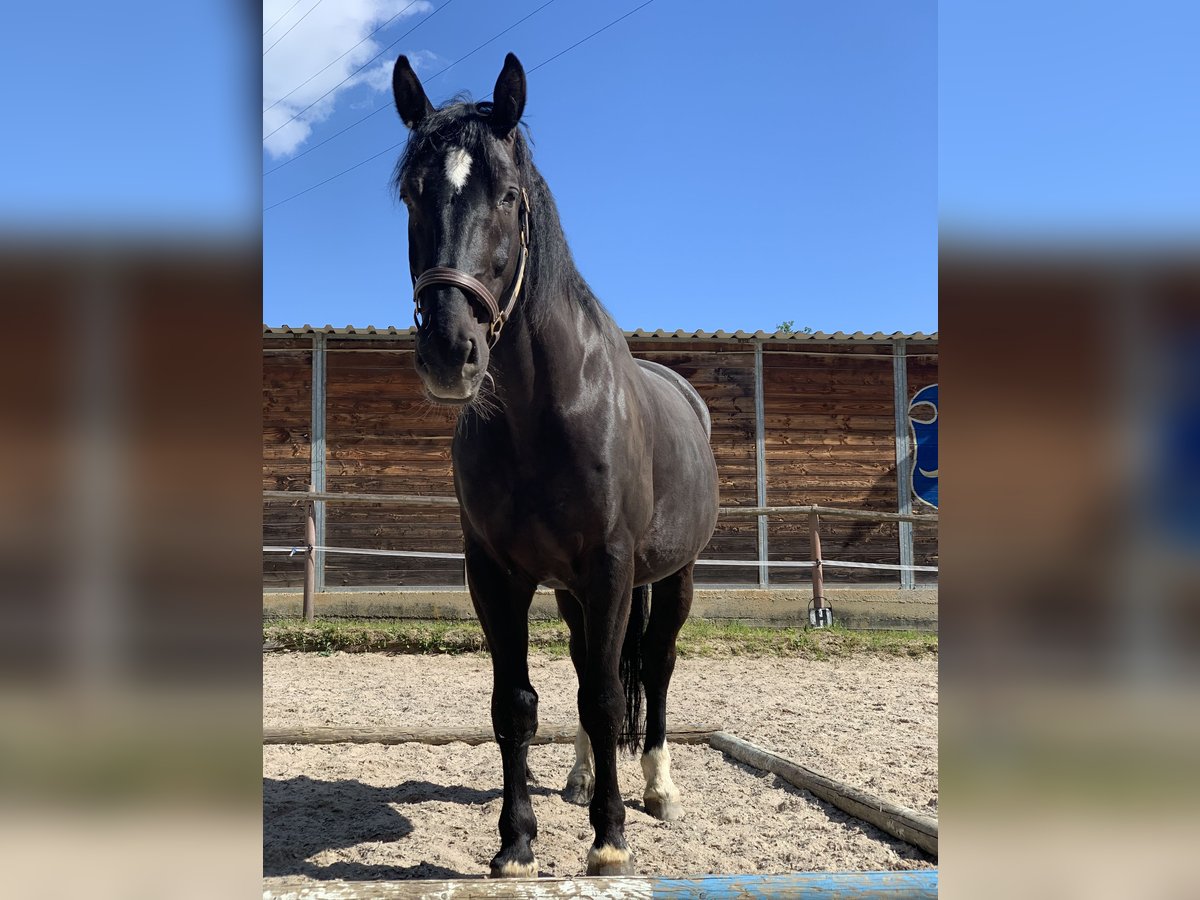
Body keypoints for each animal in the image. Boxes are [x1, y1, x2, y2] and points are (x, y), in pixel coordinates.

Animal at [388, 52, 715, 878]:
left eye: (508, 194)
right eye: (411, 194)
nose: (451, 351)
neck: (542, 414)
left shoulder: (611, 564)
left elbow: (606, 697)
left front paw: (609, 840)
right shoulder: (496, 572)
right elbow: (519, 703)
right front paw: (516, 841)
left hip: (672, 576)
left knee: (653, 667)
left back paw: (657, 789)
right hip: (572, 591)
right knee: (582, 665)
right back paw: (581, 778)